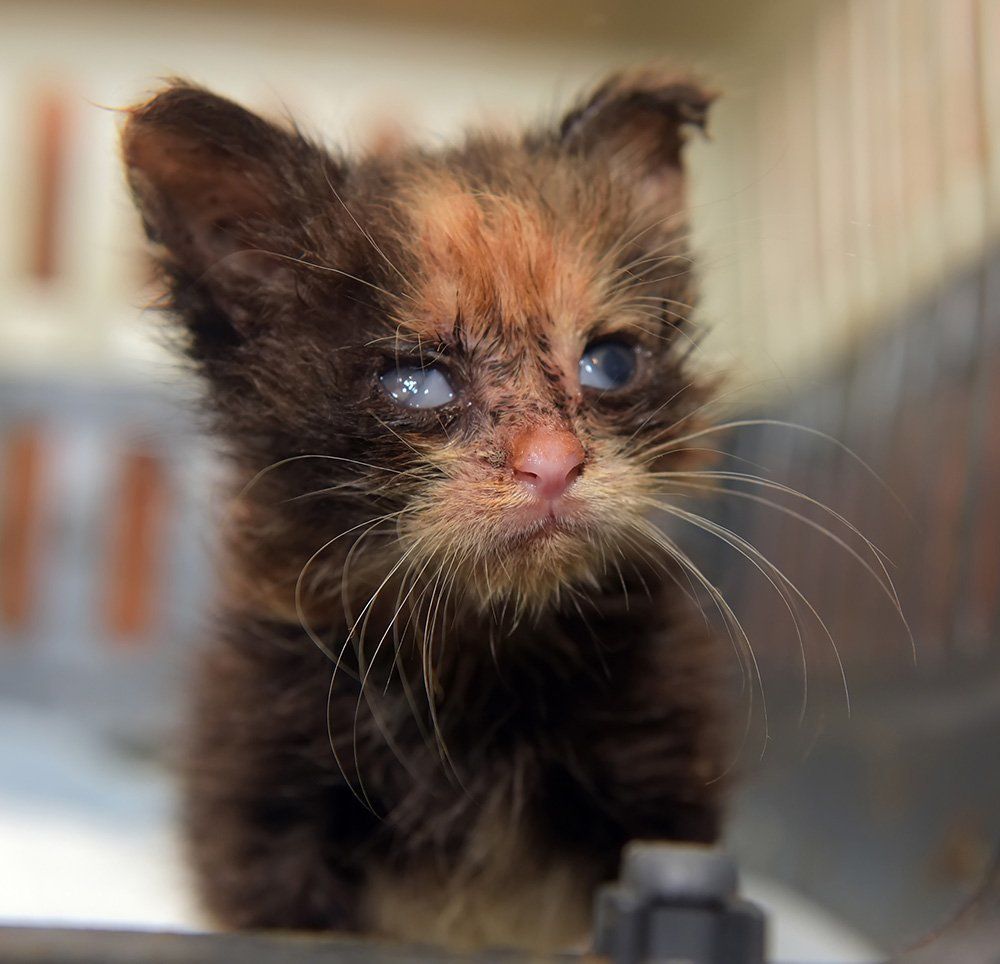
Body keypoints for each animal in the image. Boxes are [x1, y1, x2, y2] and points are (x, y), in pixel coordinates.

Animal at [125, 71, 732, 952]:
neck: (478, 655)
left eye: (612, 363)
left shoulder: (665, 773)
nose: (553, 462)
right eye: (416, 383)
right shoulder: (260, 790)